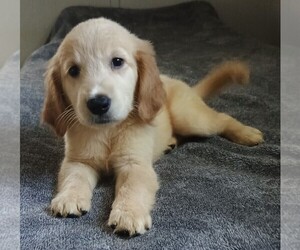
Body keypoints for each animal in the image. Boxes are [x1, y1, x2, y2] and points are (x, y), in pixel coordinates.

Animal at [41, 17, 262, 236]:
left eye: (117, 61)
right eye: (73, 70)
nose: (98, 103)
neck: (108, 131)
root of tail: (188, 88)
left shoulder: (137, 165)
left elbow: (132, 188)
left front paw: (128, 214)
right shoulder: (78, 161)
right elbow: (74, 177)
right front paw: (68, 197)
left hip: (190, 118)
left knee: (221, 118)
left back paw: (247, 133)